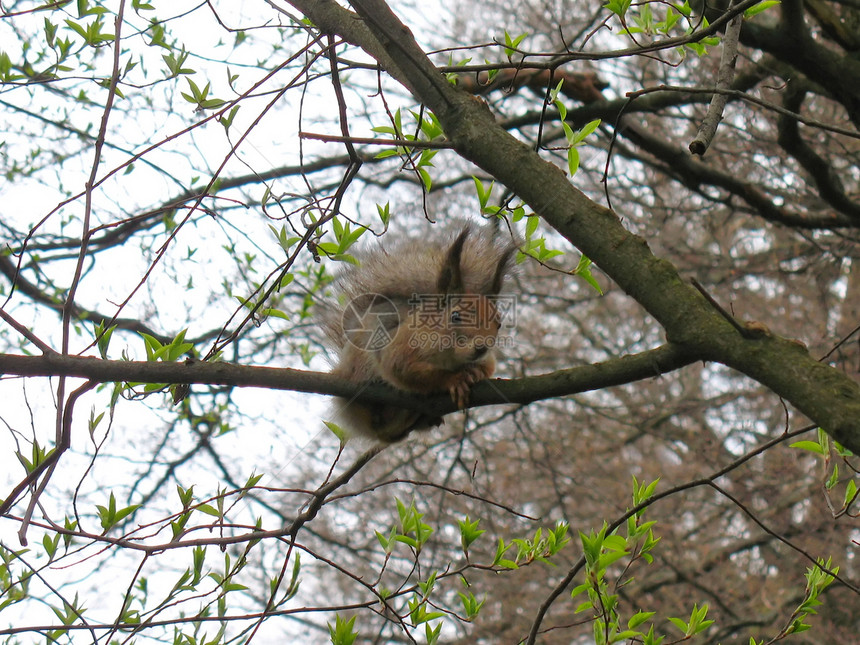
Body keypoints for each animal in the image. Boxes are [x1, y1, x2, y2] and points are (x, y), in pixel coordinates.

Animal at [320, 224, 510, 440]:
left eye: (499, 323)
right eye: (455, 316)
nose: (481, 347)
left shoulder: (487, 359)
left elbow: (488, 367)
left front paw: (476, 372)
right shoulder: (399, 349)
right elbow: (406, 370)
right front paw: (455, 379)